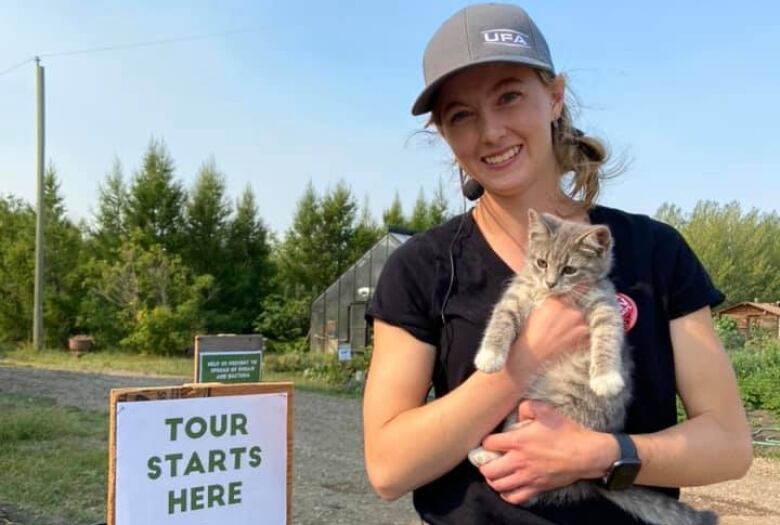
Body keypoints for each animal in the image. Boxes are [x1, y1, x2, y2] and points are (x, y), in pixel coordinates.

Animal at [466, 209, 716, 524]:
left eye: (570, 269)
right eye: (541, 262)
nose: (550, 283)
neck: (552, 296)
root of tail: (586, 481)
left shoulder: (605, 306)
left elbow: (608, 338)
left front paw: (606, 378)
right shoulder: (516, 296)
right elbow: (500, 320)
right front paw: (489, 356)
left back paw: (484, 455)